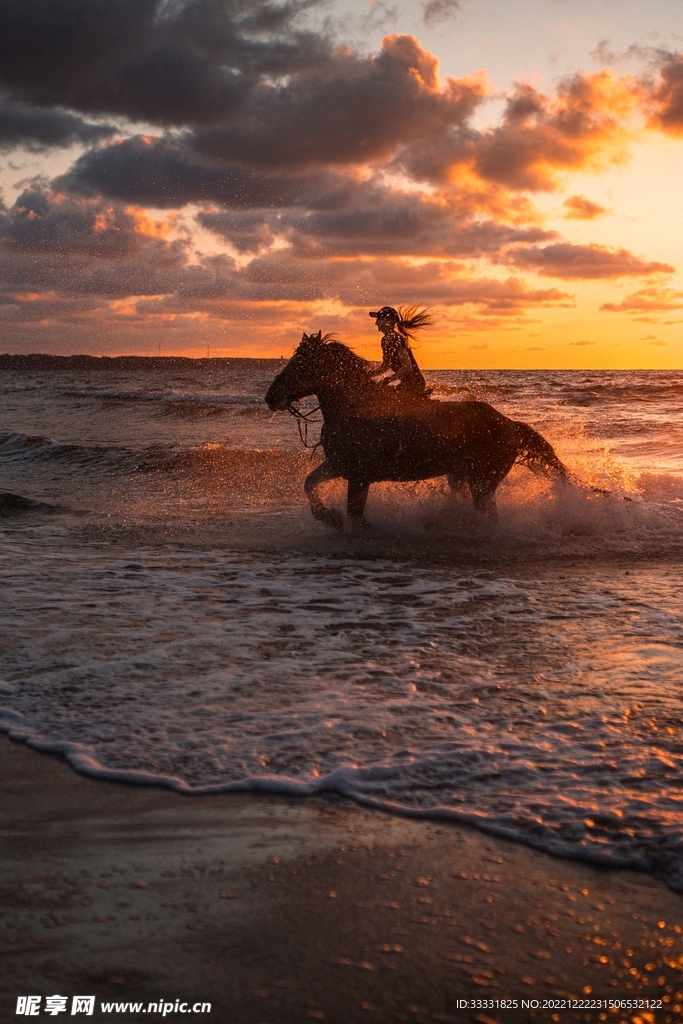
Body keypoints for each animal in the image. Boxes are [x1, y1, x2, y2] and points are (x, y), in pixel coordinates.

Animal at [265, 331, 568, 530]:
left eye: (301, 363)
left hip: (483, 482)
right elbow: (310, 483)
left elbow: (355, 515)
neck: (354, 407)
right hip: (461, 476)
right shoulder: (340, 465)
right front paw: (329, 517)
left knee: (489, 514)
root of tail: (510, 424)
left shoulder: (359, 476)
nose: (271, 397)